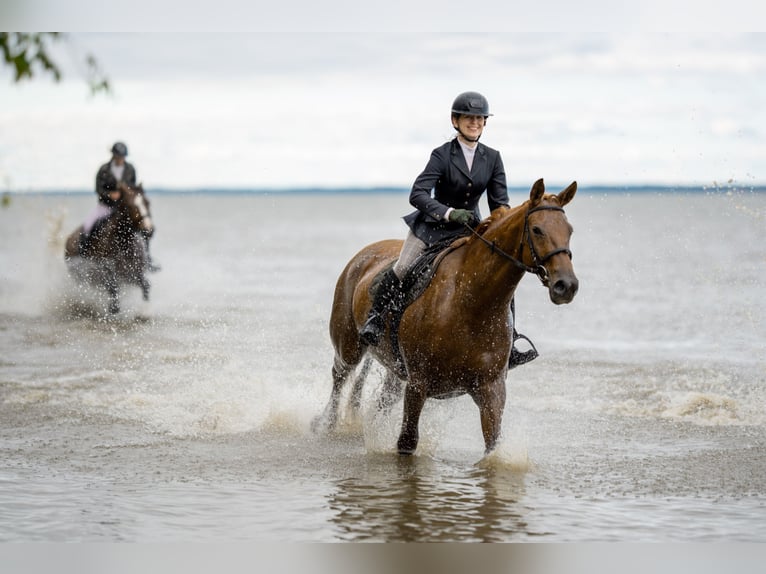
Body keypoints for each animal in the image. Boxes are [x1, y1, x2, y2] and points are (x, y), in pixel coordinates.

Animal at [63, 184, 155, 316]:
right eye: (131, 206)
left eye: (147, 202)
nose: (149, 230)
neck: (122, 244)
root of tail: (68, 240)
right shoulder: (105, 270)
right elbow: (113, 287)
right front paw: (113, 308)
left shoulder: (132, 273)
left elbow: (145, 285)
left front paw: (145, 311)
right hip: (79, 276)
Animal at [316, 178, 580, 456]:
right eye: (537, 230)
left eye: (569, 230)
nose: (566, 286)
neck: (473, 302)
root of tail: (364, 253)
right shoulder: (418, 384)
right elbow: (407, 443)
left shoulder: (492, 389)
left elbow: (492, 443)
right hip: (350, 346)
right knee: (340, 376)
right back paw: (325, 425)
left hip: (395, 370)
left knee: (380, 399)